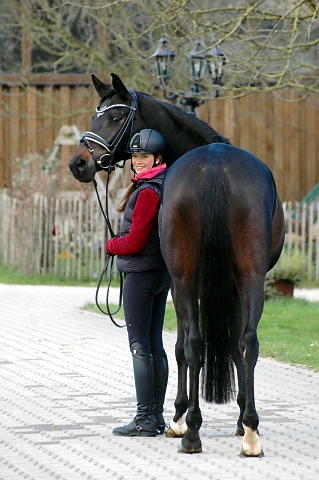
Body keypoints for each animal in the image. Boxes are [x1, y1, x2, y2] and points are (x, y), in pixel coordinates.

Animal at [69, 73, 284, 456]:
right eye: (96, 114)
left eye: (114, 117)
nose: (79, 163)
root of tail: (216, 166)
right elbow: (228, 345)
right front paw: (239, 419)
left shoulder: (176, 281)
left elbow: (184, 346)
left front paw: (181, 418)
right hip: (248, 278)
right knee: (244, 342)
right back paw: (248, 434)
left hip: (187, 280)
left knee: (194, 344)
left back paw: (192, 431)